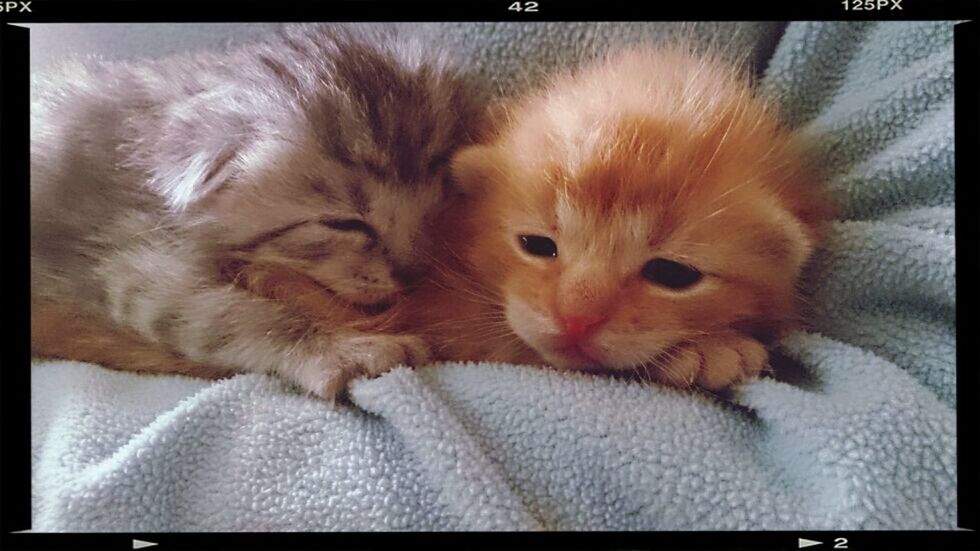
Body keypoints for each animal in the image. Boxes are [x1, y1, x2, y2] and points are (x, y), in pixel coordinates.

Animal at [31, 23, 486, 398]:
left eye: (436, 205)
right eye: (345, 223)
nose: (412, 277)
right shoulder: (120, 254)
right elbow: (230, 317)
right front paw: (342, 350)